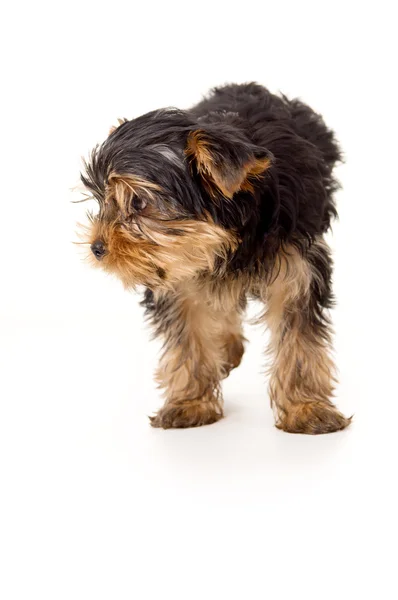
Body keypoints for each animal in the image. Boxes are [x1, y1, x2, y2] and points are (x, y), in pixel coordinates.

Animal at [81, 82, 352, 434]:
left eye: (138, 202)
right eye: (102, 200)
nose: (97, 247)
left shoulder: (299, 267)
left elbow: (299, 335)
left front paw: (307, 409)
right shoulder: (177, 275)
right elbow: (188, 334)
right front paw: (189, 403)